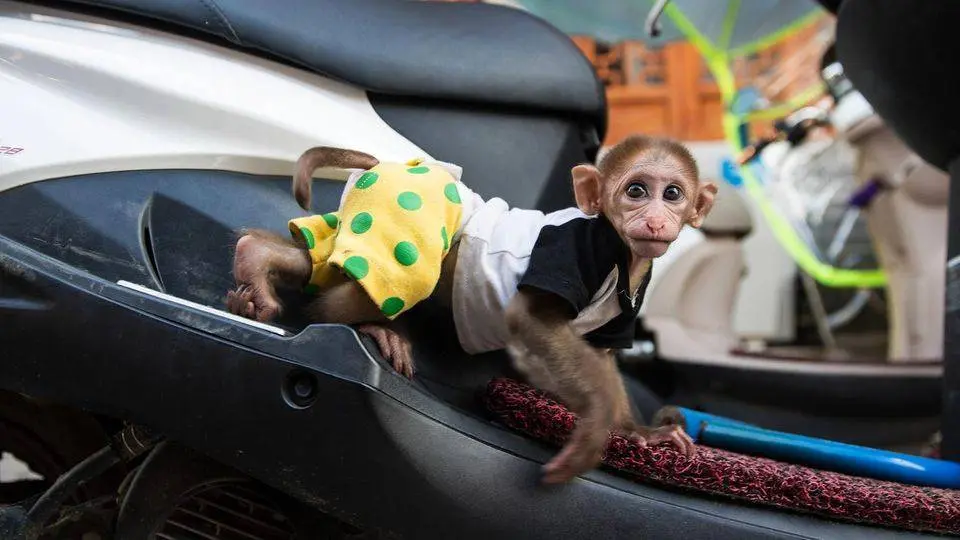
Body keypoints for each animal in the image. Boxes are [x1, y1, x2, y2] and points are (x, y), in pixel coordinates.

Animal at [227, 135, 716, 483]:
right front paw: (596, 427)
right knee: (385, 281)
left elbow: (603, 356)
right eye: (636, 190)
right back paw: (368, 325)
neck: (623, 255)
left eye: (673, 194)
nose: (655, 219)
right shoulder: (577, 251)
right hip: (404, 213)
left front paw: (637, 431)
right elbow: (531, 320)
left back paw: (257, 260)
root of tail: (388, 166)